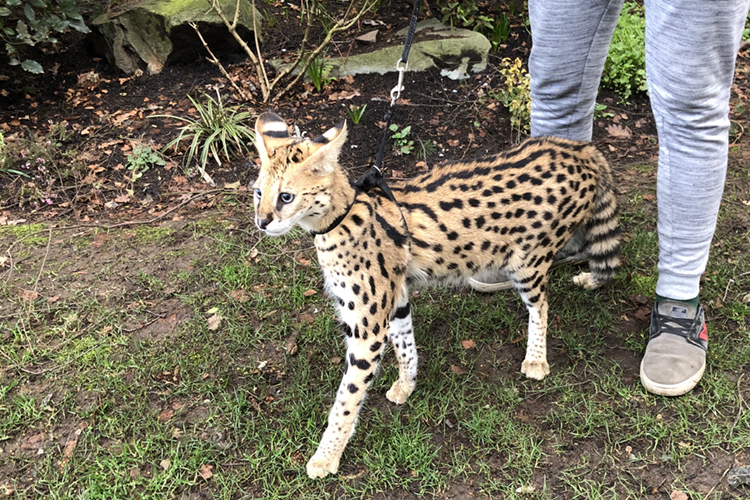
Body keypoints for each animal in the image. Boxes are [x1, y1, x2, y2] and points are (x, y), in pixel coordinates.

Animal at [253, 111, 624, 478]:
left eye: (286, 197)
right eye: (258, 192)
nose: (261, 222)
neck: (339, 217)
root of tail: (581, 149)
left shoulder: (367, 328)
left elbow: (347, 399)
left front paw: (326, 456)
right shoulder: (396, 299)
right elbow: (405, 345)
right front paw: (407, 384)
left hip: (527, 261)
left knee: (541, 305)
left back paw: (536, 358)